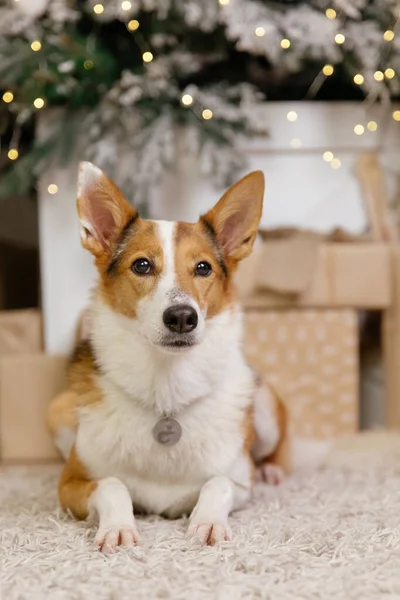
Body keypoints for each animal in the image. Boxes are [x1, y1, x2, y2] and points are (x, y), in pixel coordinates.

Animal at [47, 163, 314, 552]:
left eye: (203, 268)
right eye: (142, 265)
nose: (182, 317)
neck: (167, 390)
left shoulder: (242, 482)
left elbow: (217, 483)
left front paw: (208, 522)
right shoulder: (69, 484)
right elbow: (113, 485)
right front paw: (118, 527)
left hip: (262, 405)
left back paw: (272, 469)